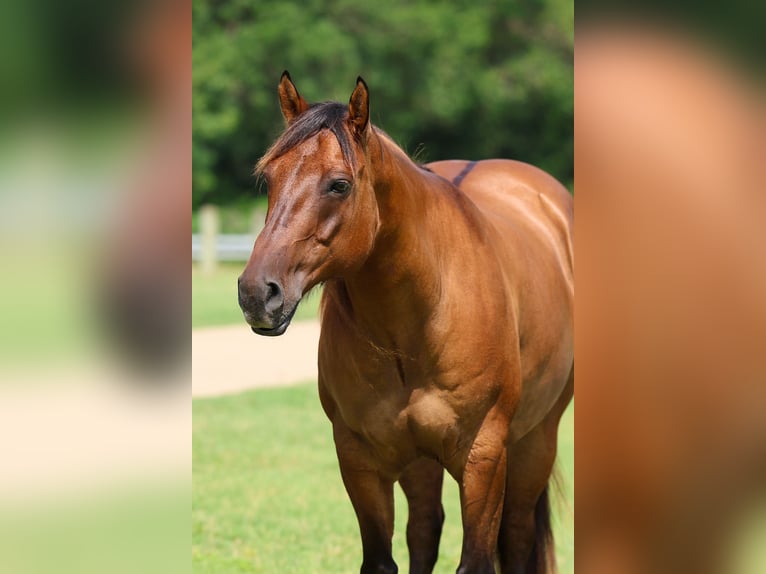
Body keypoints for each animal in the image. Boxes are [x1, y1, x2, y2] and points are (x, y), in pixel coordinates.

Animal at [238, 72, 574, 574]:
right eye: (269, 178)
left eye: (339, 185)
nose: (257, 293)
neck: (419, 320)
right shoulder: (359, 459)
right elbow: (384, 558)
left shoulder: (484, 458)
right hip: (421, 462)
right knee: (424, 530)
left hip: (536, 441)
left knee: (516, 536)